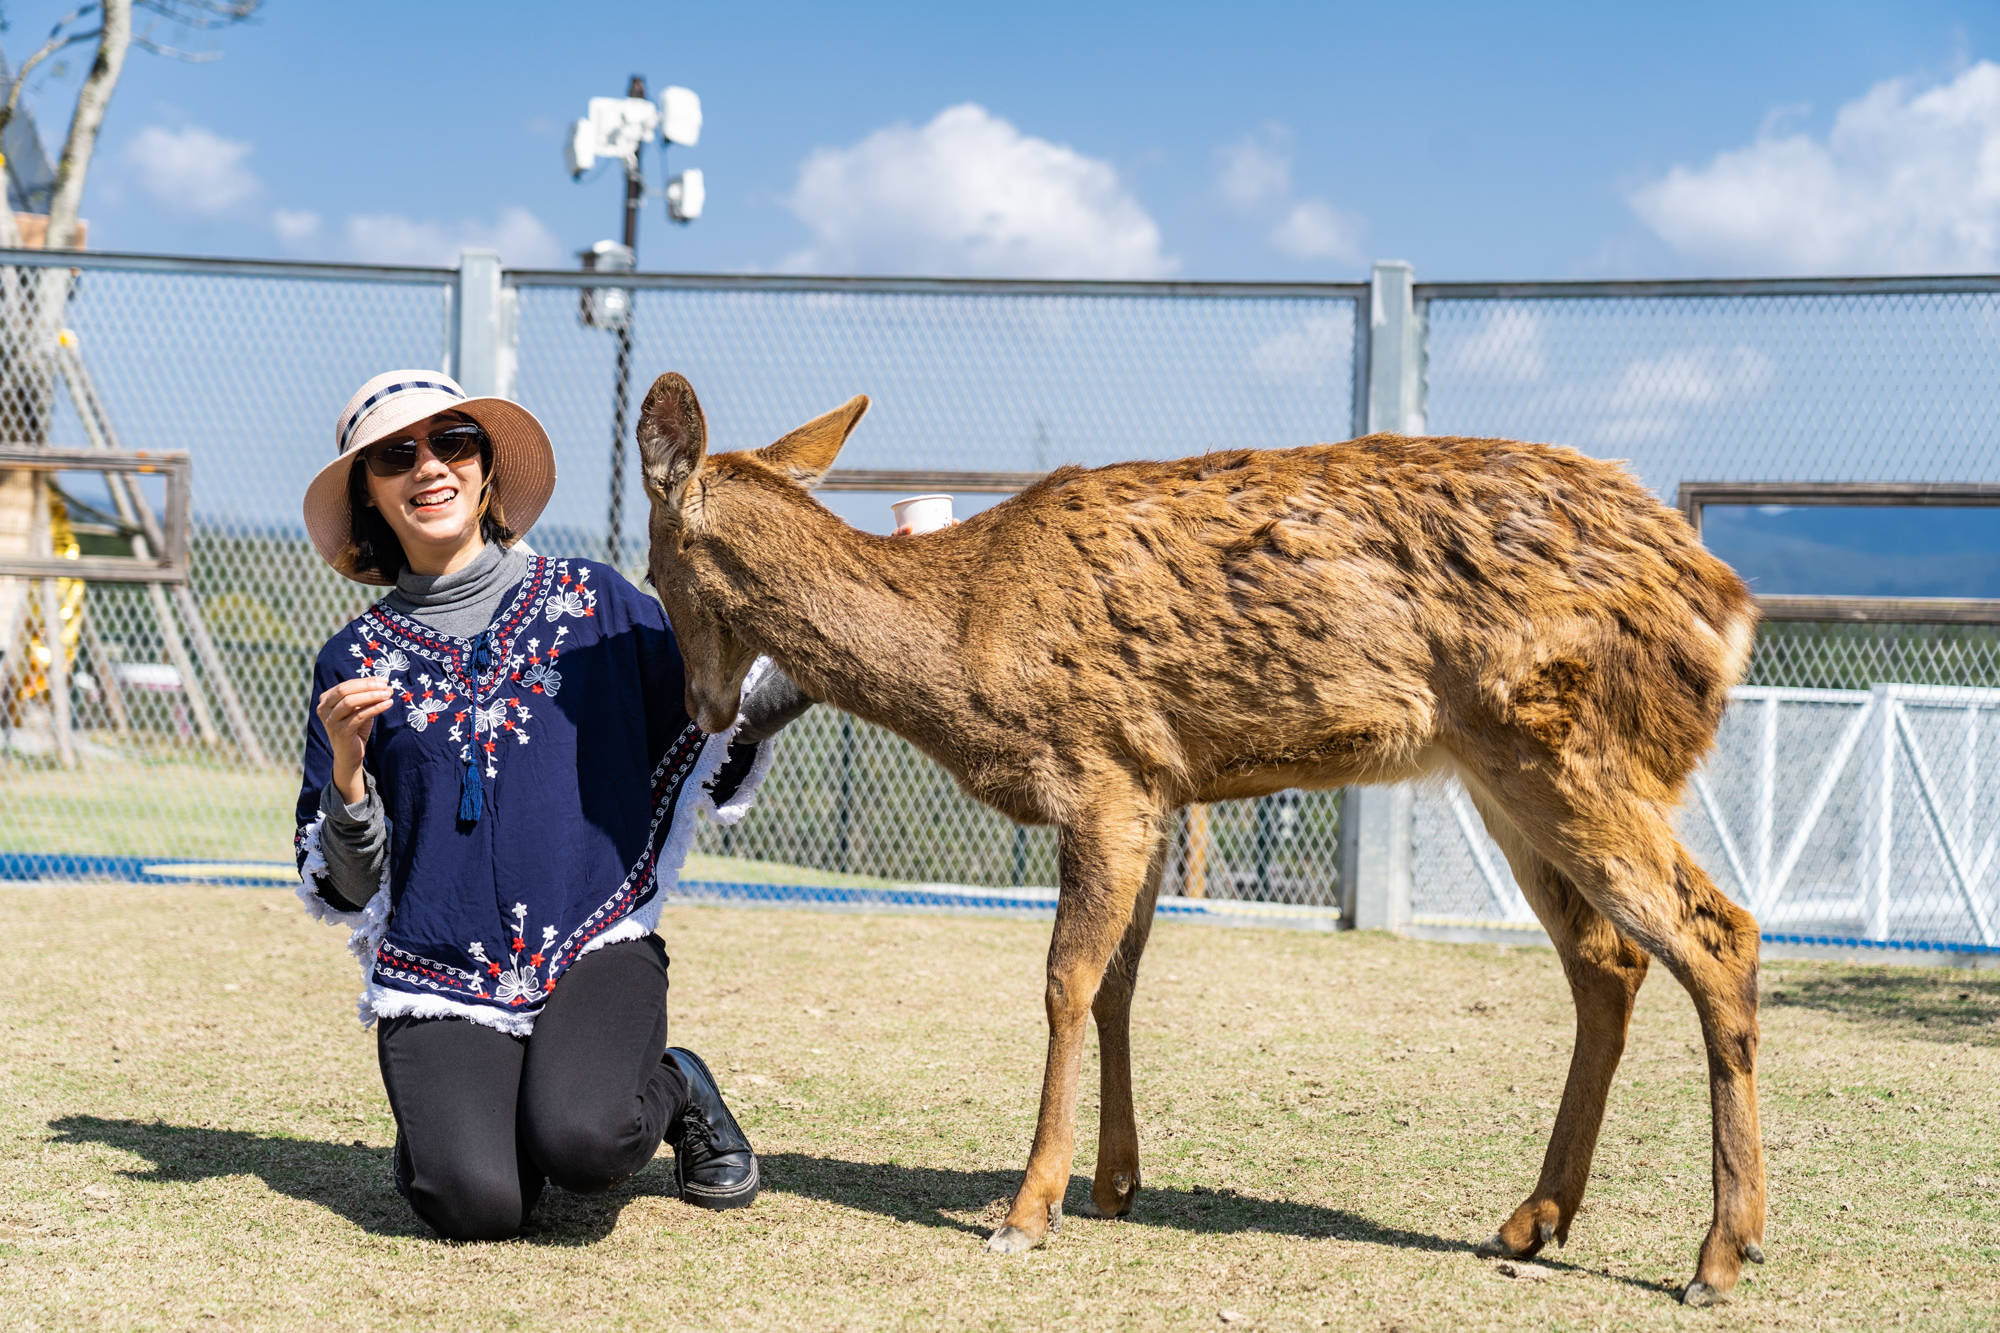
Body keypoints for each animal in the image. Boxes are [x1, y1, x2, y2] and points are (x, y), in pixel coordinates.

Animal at [636, 368, 1768, 1304]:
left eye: (654, 564)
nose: (698, 707)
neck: (966, 641)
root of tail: (1727, 604)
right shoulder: (1157, 784)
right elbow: (1121, 982)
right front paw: (1113, 1182)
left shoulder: (1100, 770)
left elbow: (1065, 981)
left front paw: (1028, 1210)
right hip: (1504, 774)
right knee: (1607, 958)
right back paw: (1531, 1221)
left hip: (1571, 744)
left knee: (1717, 930)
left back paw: (1718, 1256)